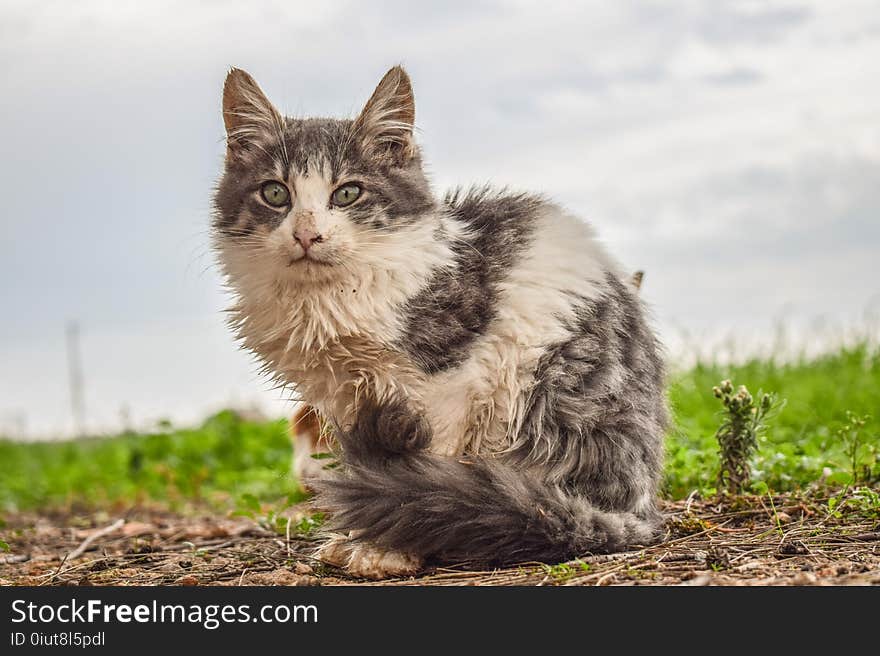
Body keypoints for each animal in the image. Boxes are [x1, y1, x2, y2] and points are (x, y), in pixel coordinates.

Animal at [213, 68, 668, 580]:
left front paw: (388, 548)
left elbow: (421, 461)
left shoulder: (450, 386)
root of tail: (640, 509)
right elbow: (371, 466)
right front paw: (361, 532)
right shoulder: (345, 395)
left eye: (347, 193)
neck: (331, 298)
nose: (308, 234)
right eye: (276, 193)